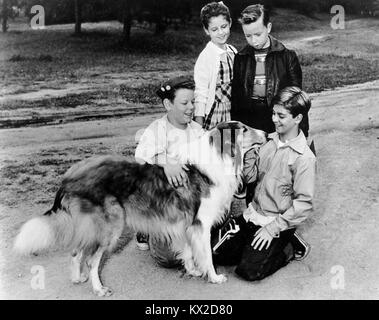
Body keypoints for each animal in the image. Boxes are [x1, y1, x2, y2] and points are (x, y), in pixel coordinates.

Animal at [13, 121, 266, 296]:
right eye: (243, 129)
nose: (266, 132)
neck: (217, 157)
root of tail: (69, 177)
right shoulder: (200, 224)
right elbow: (206, 255)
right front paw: (213, 277)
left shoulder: (185, 223)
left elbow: (187, 251)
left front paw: (192, 270)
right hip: (110, 227)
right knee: (91, 260)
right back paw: (99, 289)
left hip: (92, 227)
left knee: (76, 251)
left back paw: (78, 279)